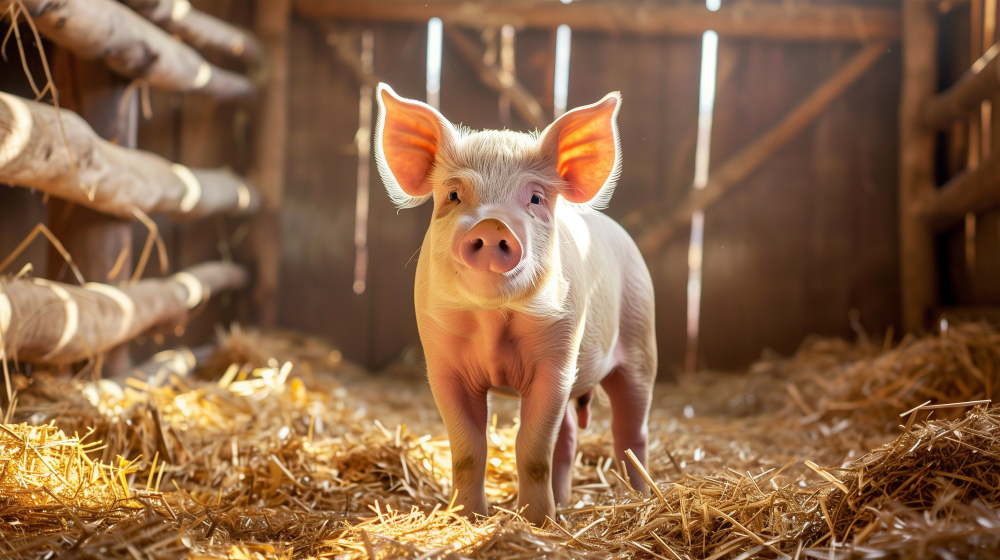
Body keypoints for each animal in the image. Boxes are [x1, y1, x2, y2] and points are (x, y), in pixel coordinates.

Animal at [376, 83, 656, 524]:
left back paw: (639, 499)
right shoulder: (441, 364)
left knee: (631, 433)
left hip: (642, 341)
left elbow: (532, 450)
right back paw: (565, 503)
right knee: (570, 436)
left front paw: (536, 523)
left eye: (536, 198)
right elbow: (468, 451)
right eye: (453, 194)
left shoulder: (558, 360)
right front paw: (466, 518)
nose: (493, 224)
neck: (493, 321)